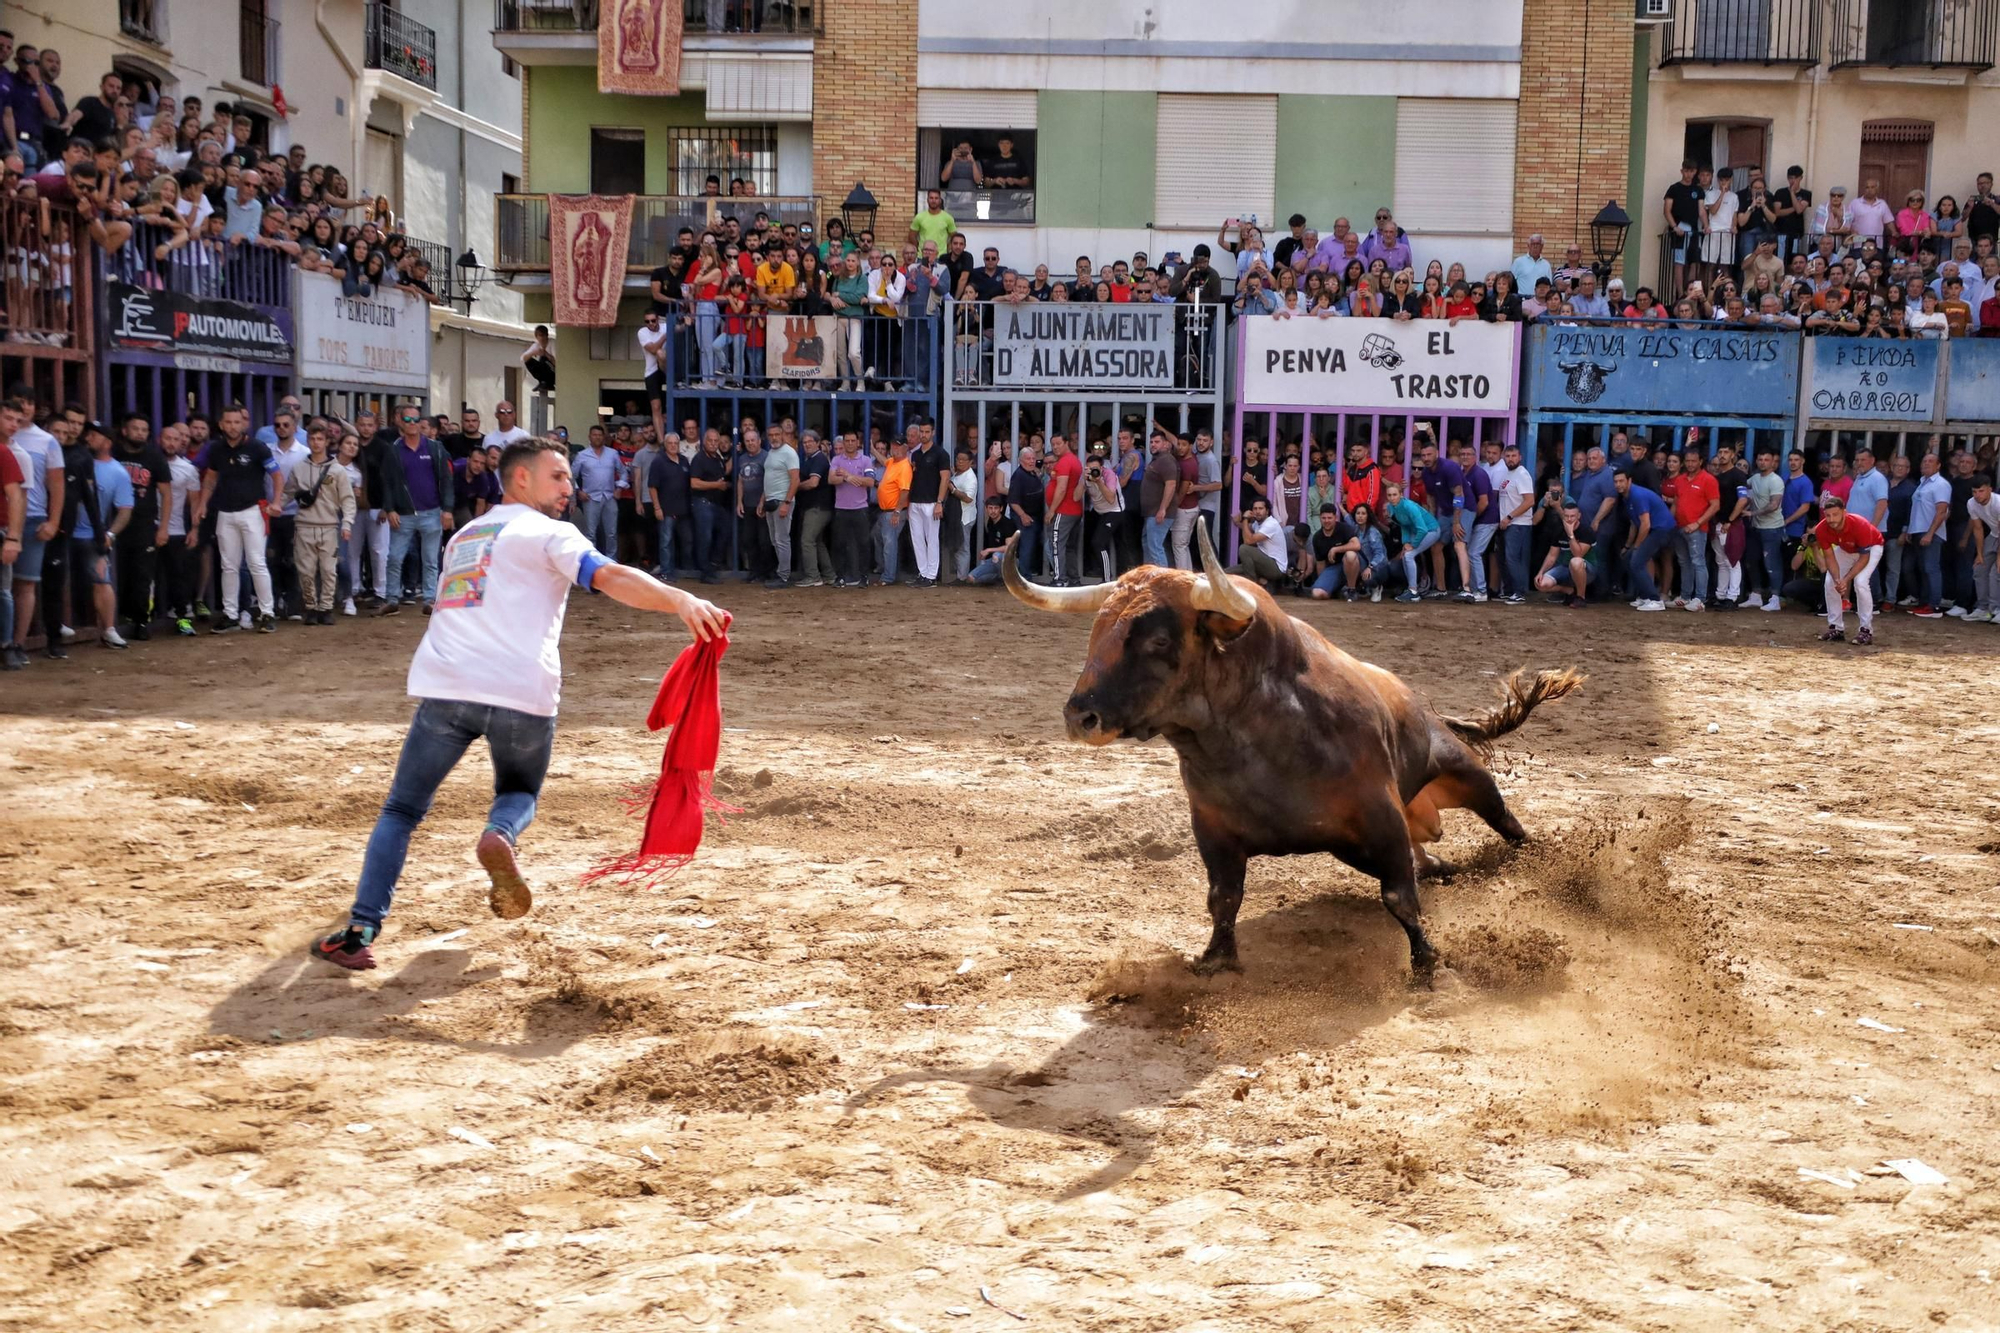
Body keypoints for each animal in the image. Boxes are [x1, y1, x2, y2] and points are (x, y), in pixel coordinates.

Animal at [1008, 524, 1584, 980]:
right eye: (1098, 631)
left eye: (1158, 640)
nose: (1080, 717)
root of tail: (1426, 708)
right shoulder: (1212, 829)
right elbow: (1223, 898)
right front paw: (1215, 959)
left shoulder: (1381, 816)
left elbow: (1399, 897)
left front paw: (1427, 965)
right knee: (1435, 863)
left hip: (1461, 770)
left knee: (1506, 822)